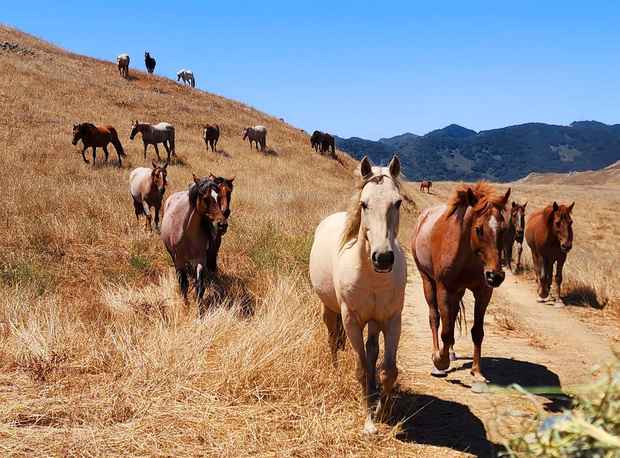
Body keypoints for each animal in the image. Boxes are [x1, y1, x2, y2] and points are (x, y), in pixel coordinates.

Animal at [161, 173, 226, 314]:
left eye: (218, 197)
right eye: (205, 198)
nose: (222, 225)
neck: (187, 233)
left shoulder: (200, 260)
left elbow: (200, 286)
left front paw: (199, 310)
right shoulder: (179, 260)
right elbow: (183, 284)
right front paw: (185, 305)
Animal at [308, 156, 406, 434]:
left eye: (398, 202)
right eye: (364, 204)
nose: (383, 258)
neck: (373, 277)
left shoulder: (392, 320)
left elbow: (388, 370)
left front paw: (382, 411)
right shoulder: (351, 320)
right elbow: (361, 368)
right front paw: (369, 421)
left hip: (374, 322)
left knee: (372, 350)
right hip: (329, 310)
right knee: (332, 338)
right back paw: (334, 371)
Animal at [412, 182, 508, 386]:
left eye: (504, 229)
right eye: (479, 229)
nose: (495, 276)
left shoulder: (483, 292)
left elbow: (477, 331)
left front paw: (477, 371)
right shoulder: (444, 289)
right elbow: (445, 330)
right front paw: (440, 361)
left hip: (459, 291)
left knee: (452, 315)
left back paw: (451, 352)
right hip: (428, 282)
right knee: (435, 317)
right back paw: (438, 354)